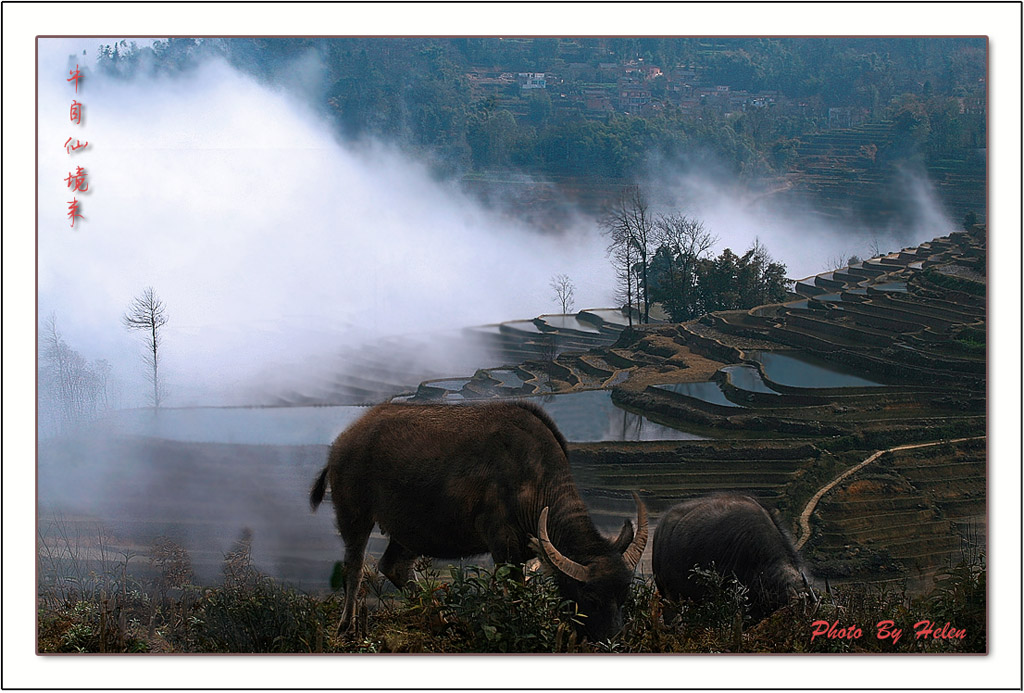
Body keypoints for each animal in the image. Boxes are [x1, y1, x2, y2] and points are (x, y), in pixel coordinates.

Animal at [309, 397, 647, 638]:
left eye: (624, 594)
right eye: (590, 596)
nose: (613, 640)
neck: (533, 479)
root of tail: (341, 443)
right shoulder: (502, 545)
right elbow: (514, 593)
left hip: (410, 530)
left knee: (394, 566)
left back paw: (442, 620)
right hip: (354, 515)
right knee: (354, 568)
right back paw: (346, 628)